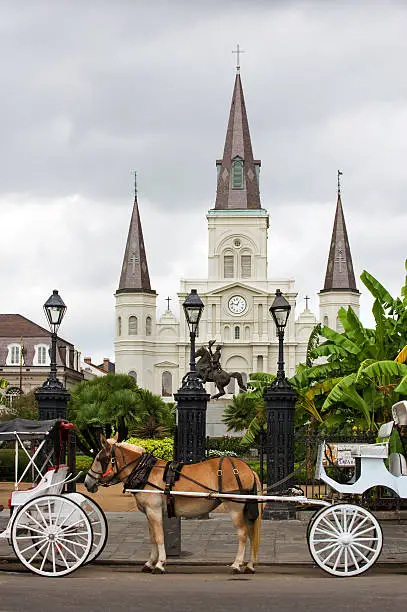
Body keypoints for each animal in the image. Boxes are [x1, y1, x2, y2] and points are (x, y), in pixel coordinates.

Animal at [85, 436, 262, 572]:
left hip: (234, 507)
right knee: (251, 532)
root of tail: (248, 469)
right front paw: (150, 562)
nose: (87, 482)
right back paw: (250, 565)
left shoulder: (154, 510)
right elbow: (152, 538)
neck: (144, 472)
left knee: (243, 533)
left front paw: (160, 563)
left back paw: (237, 564)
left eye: (100, 459)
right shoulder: (149, 513)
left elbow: (159, 536)